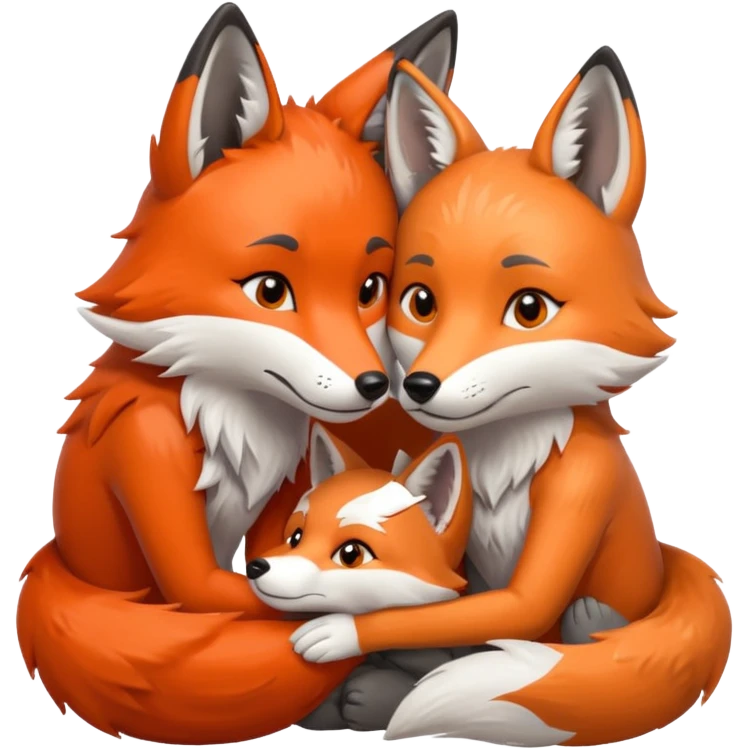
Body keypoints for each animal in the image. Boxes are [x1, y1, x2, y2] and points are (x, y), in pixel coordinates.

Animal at [15, 3, 457, 744]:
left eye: (370, 287)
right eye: (270, 290)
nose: (375, 386)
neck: (237, 412)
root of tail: (61, 563)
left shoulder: (290, 489)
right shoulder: (150, 452)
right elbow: (222, 586)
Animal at [280, 46, 735, 746]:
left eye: (528, 309)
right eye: (420, 301)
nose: (419, 387)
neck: (506, 459)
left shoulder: (580, 491)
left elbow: (507, 607)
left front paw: (342, 632)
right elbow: (445, 605)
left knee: (578, 629)